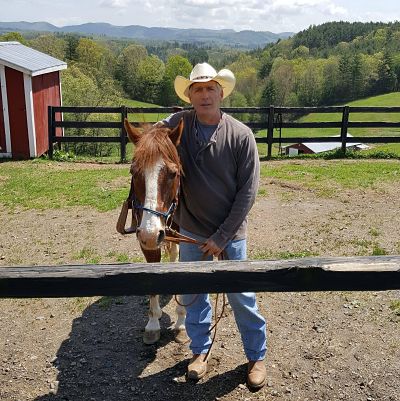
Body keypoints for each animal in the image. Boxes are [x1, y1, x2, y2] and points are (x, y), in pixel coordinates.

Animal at [116, 116, 188, 344]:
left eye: (173, 173)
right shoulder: (148, 244)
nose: (150, 232)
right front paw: (153, 324)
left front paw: (181, 323)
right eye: (133, 171)